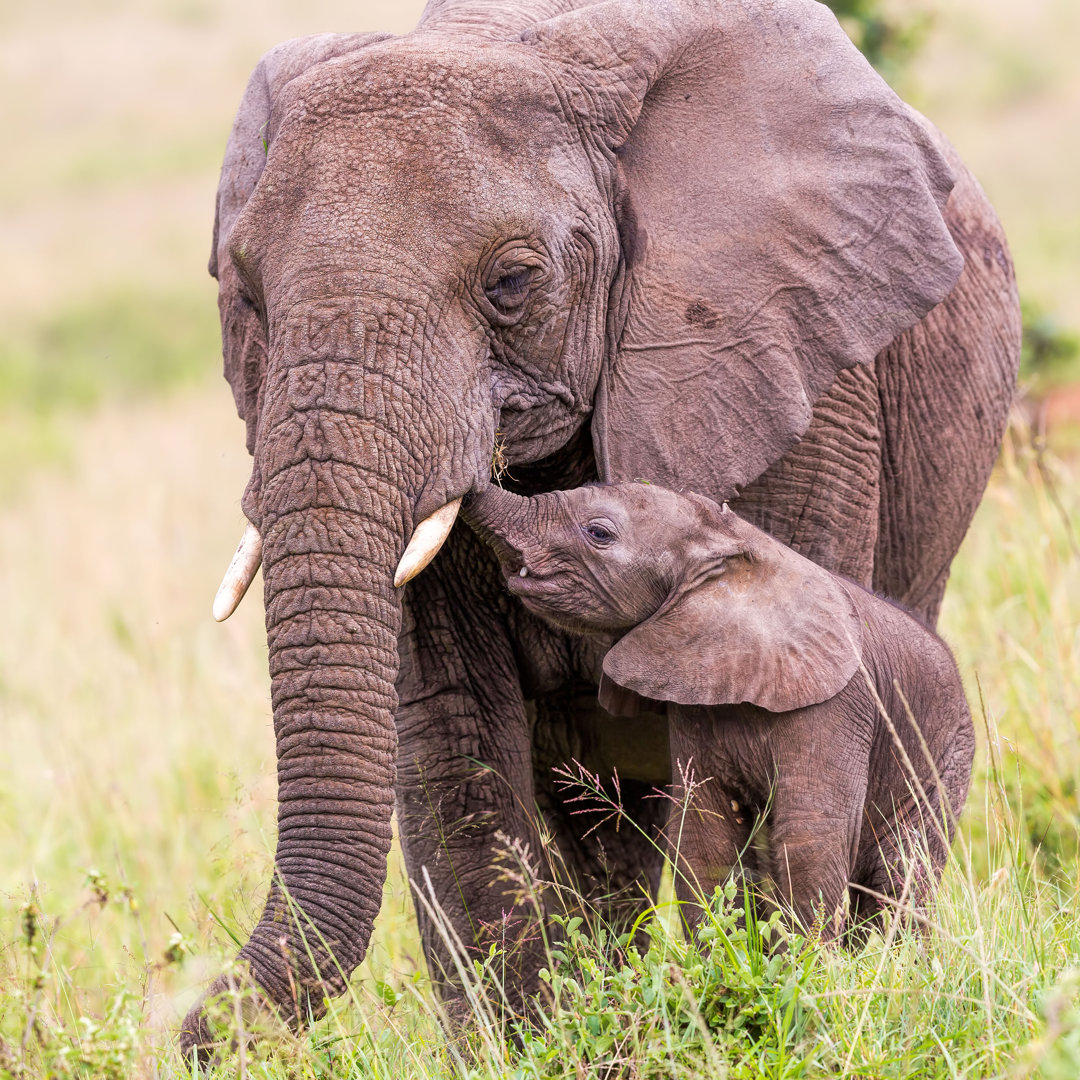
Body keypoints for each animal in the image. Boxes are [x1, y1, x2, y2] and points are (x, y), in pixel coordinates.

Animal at [468, 483, 976, 937]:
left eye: (599, 533)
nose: (473, 483)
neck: (728, 549)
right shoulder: (695, 697)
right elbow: (703, 835)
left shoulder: (838, 705)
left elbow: (810, 837)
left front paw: (805, 968)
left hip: (948, 759)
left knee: (901, 877)